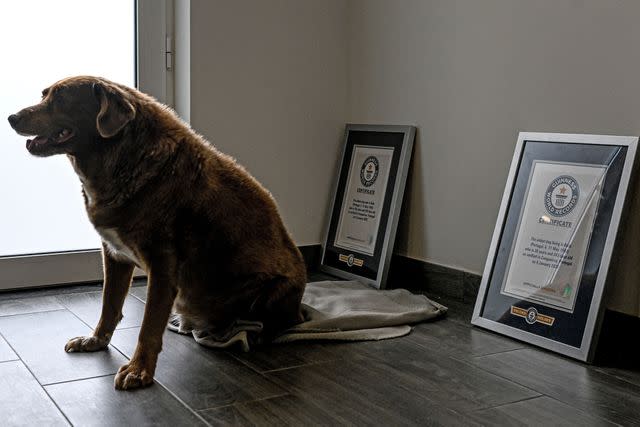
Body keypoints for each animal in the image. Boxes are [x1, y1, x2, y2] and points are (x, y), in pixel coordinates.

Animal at [6, 76, 308, 392]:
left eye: (61, 98)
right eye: (44, 95)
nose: (11, 118)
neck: (122, 159)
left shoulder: (163, 265)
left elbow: (149, 325)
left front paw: (139, 370)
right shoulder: (113, 254)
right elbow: (109, 304)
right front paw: (96, 340)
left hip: (271, 291)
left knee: (273, 324)